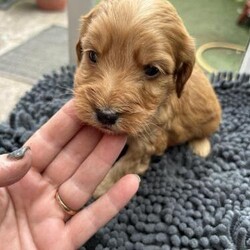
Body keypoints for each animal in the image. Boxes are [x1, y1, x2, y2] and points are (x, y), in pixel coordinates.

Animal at [73, 0, 221, 196]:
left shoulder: (146, 146)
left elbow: (121, 168)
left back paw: (201, 147)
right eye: (92, 55)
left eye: (152, 70)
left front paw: (99, 187)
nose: (105, 115)